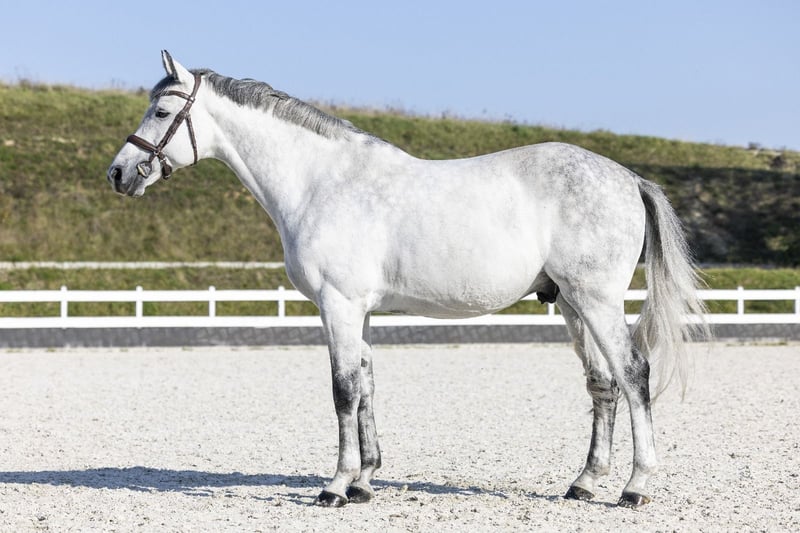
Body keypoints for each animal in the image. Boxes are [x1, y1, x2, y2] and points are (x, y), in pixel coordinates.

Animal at [108, 51, 708, 508]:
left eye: (162, 110)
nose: (119, 173)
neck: (319, 181)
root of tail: (628, 177)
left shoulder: (338, 305)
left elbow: (343, 390)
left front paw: (335, 487)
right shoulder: (360, 311)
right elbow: (367, 385)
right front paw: (366, 481)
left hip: (597, 299)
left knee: (634, 373)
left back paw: (634, 487)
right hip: (570, 304)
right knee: (603, 384)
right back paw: (583, 483)